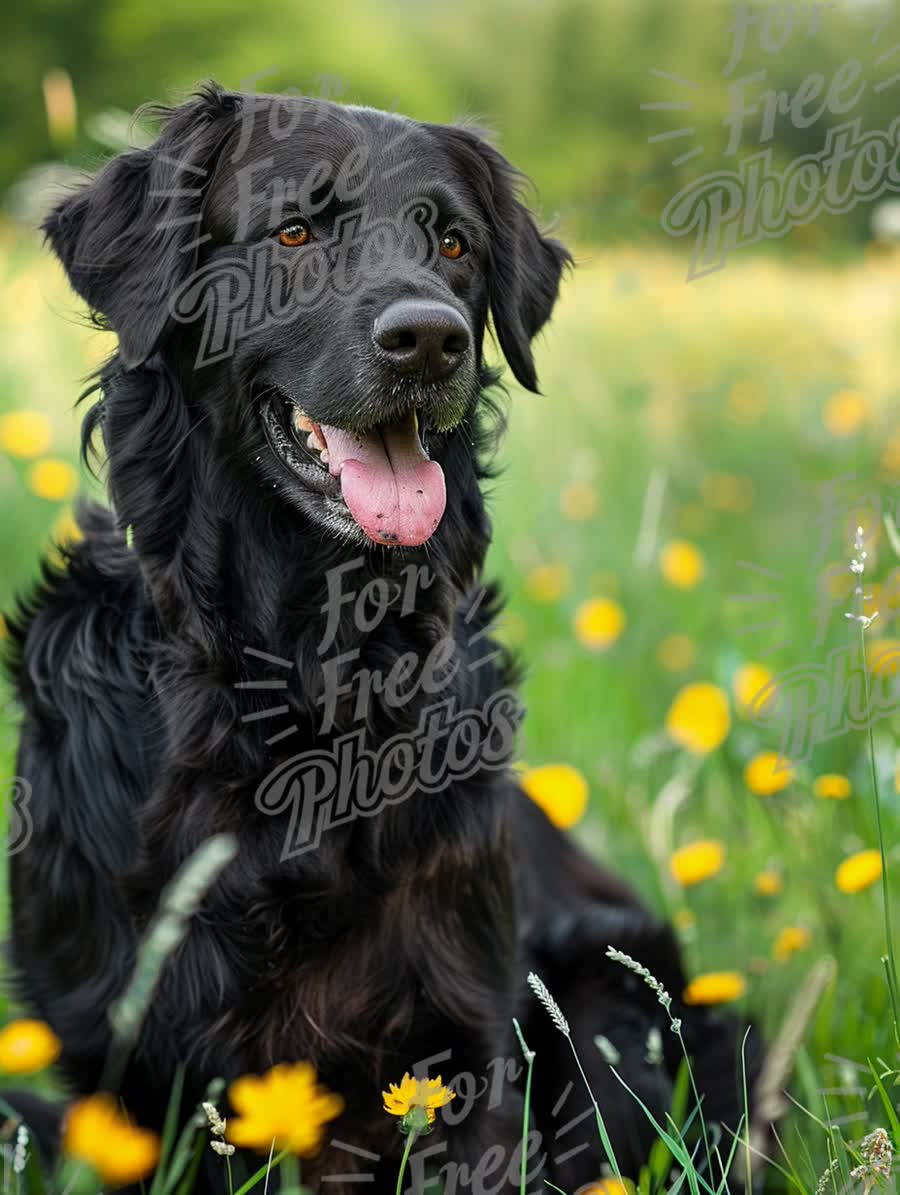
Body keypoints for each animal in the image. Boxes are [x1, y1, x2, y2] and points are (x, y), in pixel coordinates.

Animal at [5, 86, 760, 1195]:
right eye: (294, 231)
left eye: (451, 243)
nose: (431, 340)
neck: (303, 664)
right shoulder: (122, 1066)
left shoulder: (456, 1048)